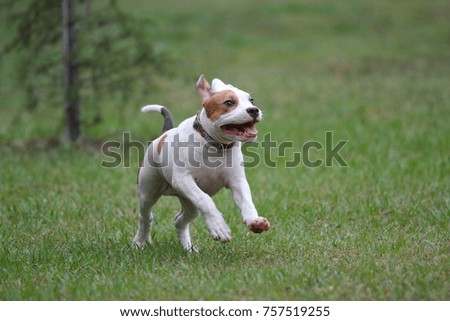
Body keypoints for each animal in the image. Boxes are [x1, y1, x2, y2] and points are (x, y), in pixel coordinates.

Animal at [132, 75, 268, 250]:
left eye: (251, 100)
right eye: (229, 103)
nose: (254, 110)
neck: (215, 147)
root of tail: (163, 135)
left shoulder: (237, 181)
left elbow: (246, 200)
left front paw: (254, 220)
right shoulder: (183, 179)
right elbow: (206, 200)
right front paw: (219, 226)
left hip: (190, 203)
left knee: (179, 220)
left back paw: (188, 248)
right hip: (148, 191)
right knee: (146, 217)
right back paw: (140, 241)